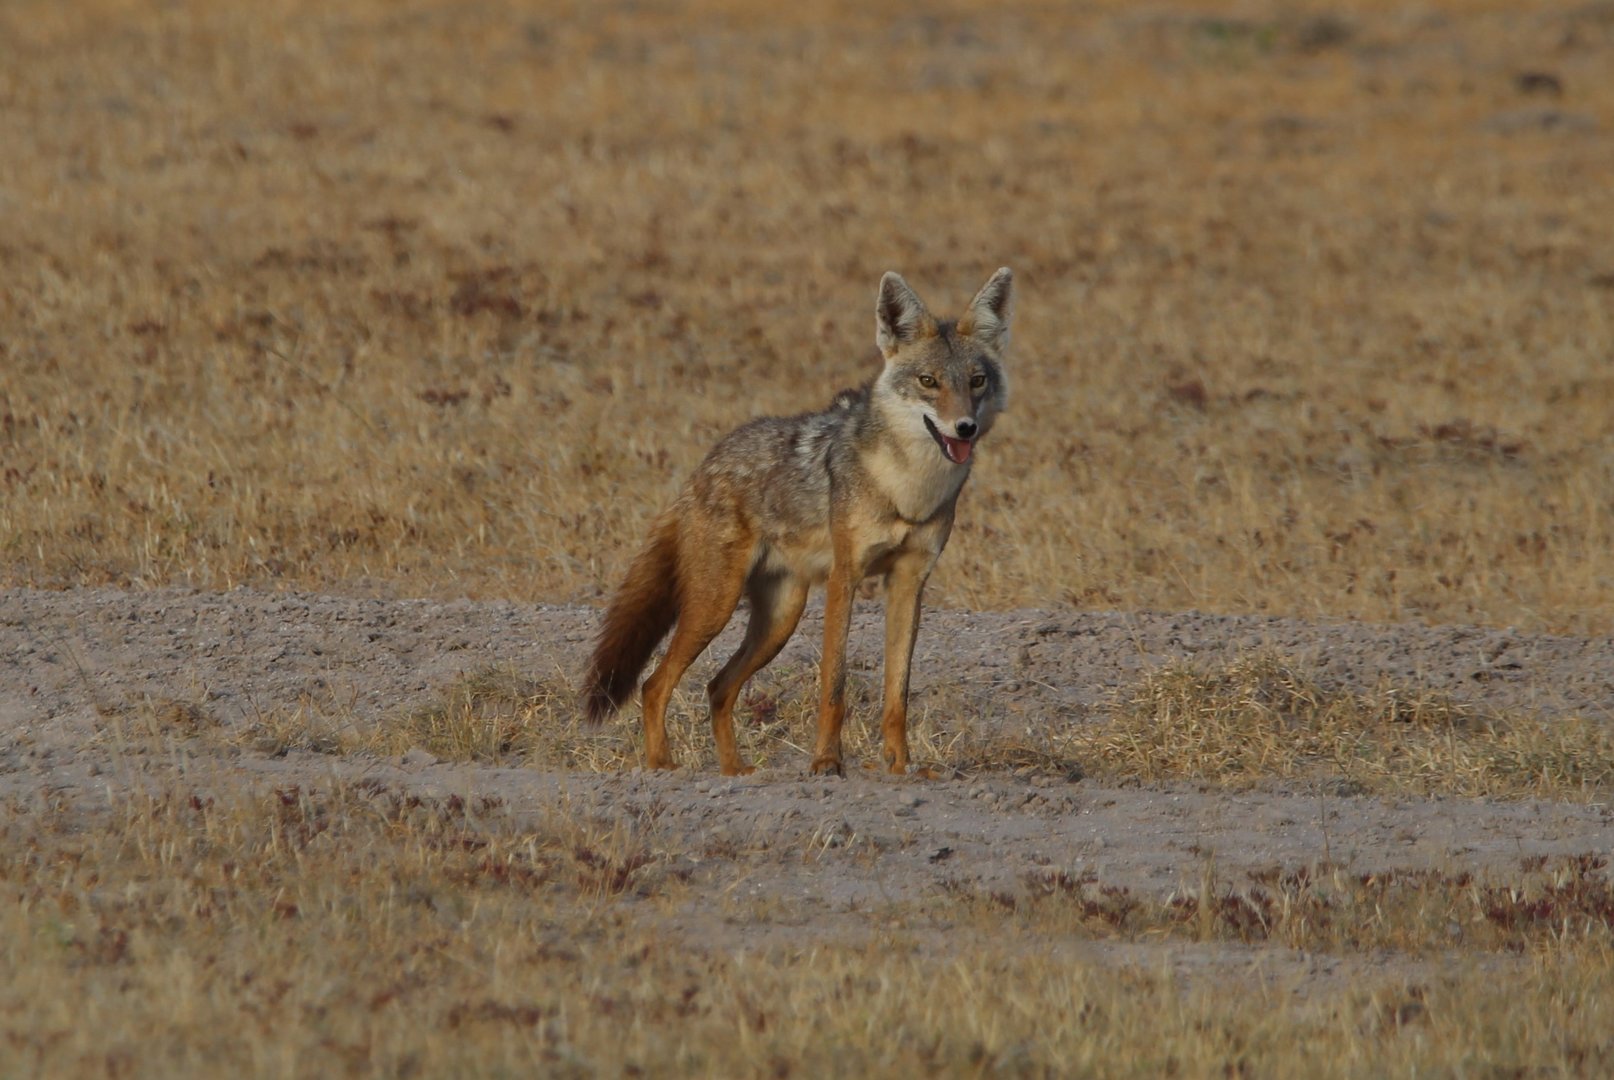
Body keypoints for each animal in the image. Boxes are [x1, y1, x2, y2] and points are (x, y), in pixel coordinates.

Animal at [582, 267, 1013, 776]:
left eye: (977, 381)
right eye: (929, 381)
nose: (964, 427)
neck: (907, 489)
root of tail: (705, 465)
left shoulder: (909, 582)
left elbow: (897, 695)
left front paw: (900, 767)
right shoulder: (845, 578)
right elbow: (834, 686)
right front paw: (826, 762)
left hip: (779, 621)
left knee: (717, 687)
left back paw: (735, 772)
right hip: (716, 608)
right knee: (655, 684)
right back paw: (661, 768)